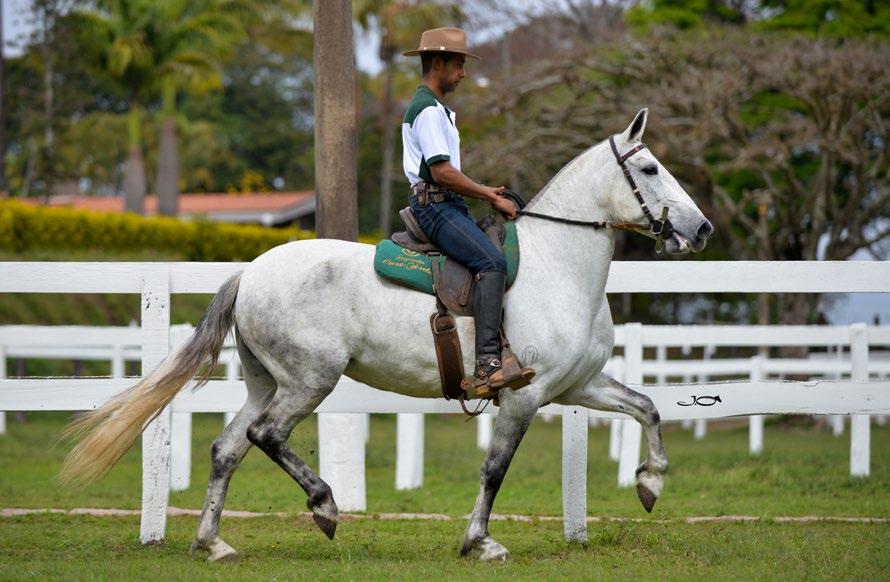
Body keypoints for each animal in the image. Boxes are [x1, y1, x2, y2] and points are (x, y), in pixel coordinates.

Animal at [60, 108, 708, 560]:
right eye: (650, 168)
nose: (700, 229)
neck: (558, 265)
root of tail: (250, 272)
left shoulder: (577, 387)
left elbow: (648, 408)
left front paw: (650, 483)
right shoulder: (524, 396)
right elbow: (494, 470)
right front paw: (480, 542)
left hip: (265, 382)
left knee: (227, 448)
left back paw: (212, 543)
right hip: (309, 381)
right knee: (267, 436)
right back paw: (324, 507)